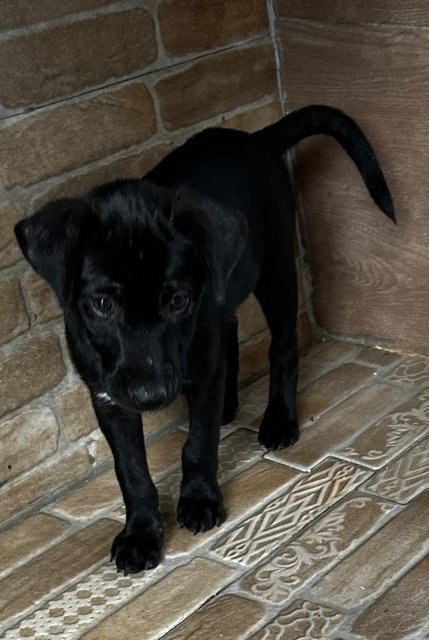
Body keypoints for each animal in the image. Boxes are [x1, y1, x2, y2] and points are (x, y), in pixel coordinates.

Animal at [15, 105, 392, 576]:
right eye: (101, 304)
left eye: (178, 301)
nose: (151, 394)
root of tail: (255, 139)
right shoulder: (108, 396)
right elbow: (131, 470)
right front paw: (141, 534)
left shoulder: (197, 353)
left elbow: (197, 444)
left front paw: (199, 500)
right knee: (228, 336)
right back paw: (229, 404)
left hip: (276, 270)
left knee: (282, 348)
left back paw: (278, 420)